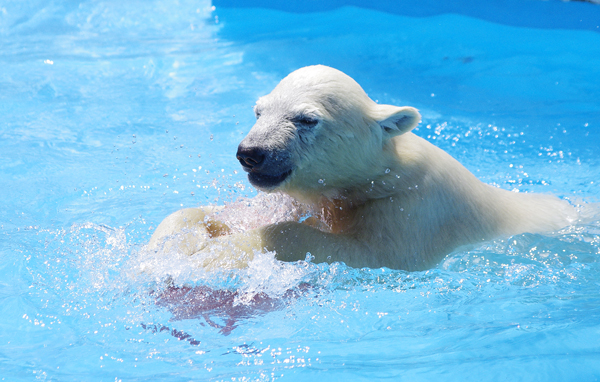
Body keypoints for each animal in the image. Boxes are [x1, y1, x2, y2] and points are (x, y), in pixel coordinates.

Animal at [146, 64, 576, 270]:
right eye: (259, 111)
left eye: (306, 119)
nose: (251, 152)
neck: (373, 180)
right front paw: (167, 245)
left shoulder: (411, 211)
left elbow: (368, 252)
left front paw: (217, 254)